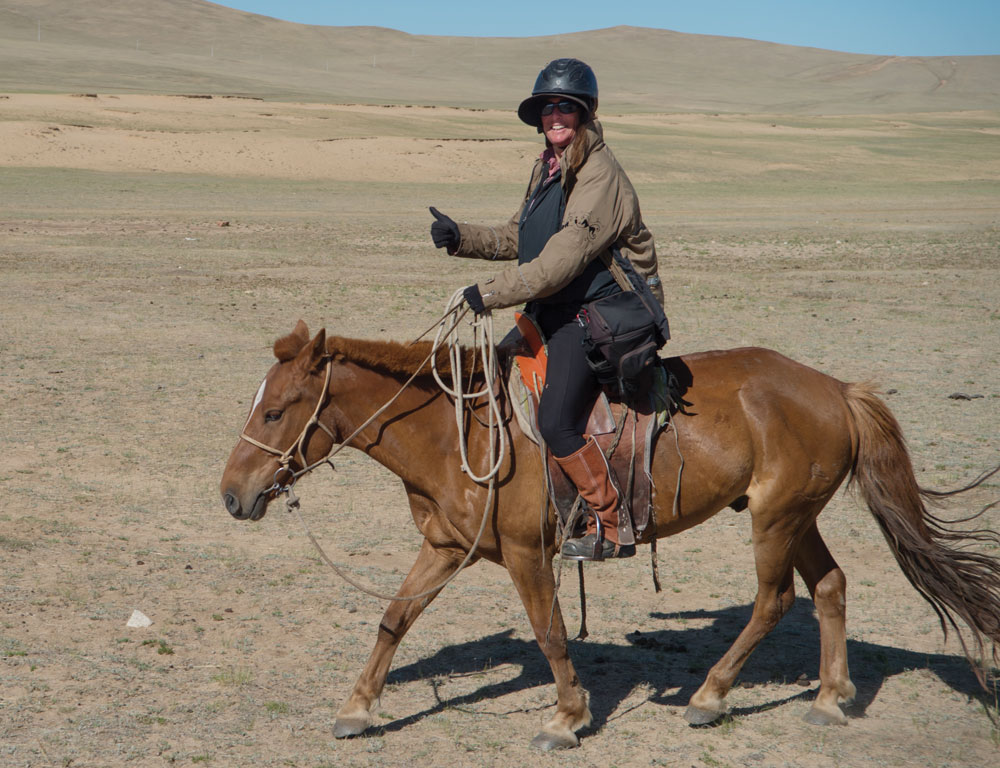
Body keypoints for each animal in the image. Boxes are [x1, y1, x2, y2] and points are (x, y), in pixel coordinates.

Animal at [221, 320, 1000, 752]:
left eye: (278, 410)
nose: (232, 495)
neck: (460, 431)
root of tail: (837, 389)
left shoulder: (528, 554)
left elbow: (550, 633)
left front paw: (566, 718)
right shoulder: (446, 546)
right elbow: (395, 616)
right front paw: (357, 708)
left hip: (776, 520)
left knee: (774, 601)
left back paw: (710, 697)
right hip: (795, 515)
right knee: (831, 587)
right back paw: (830, 698)